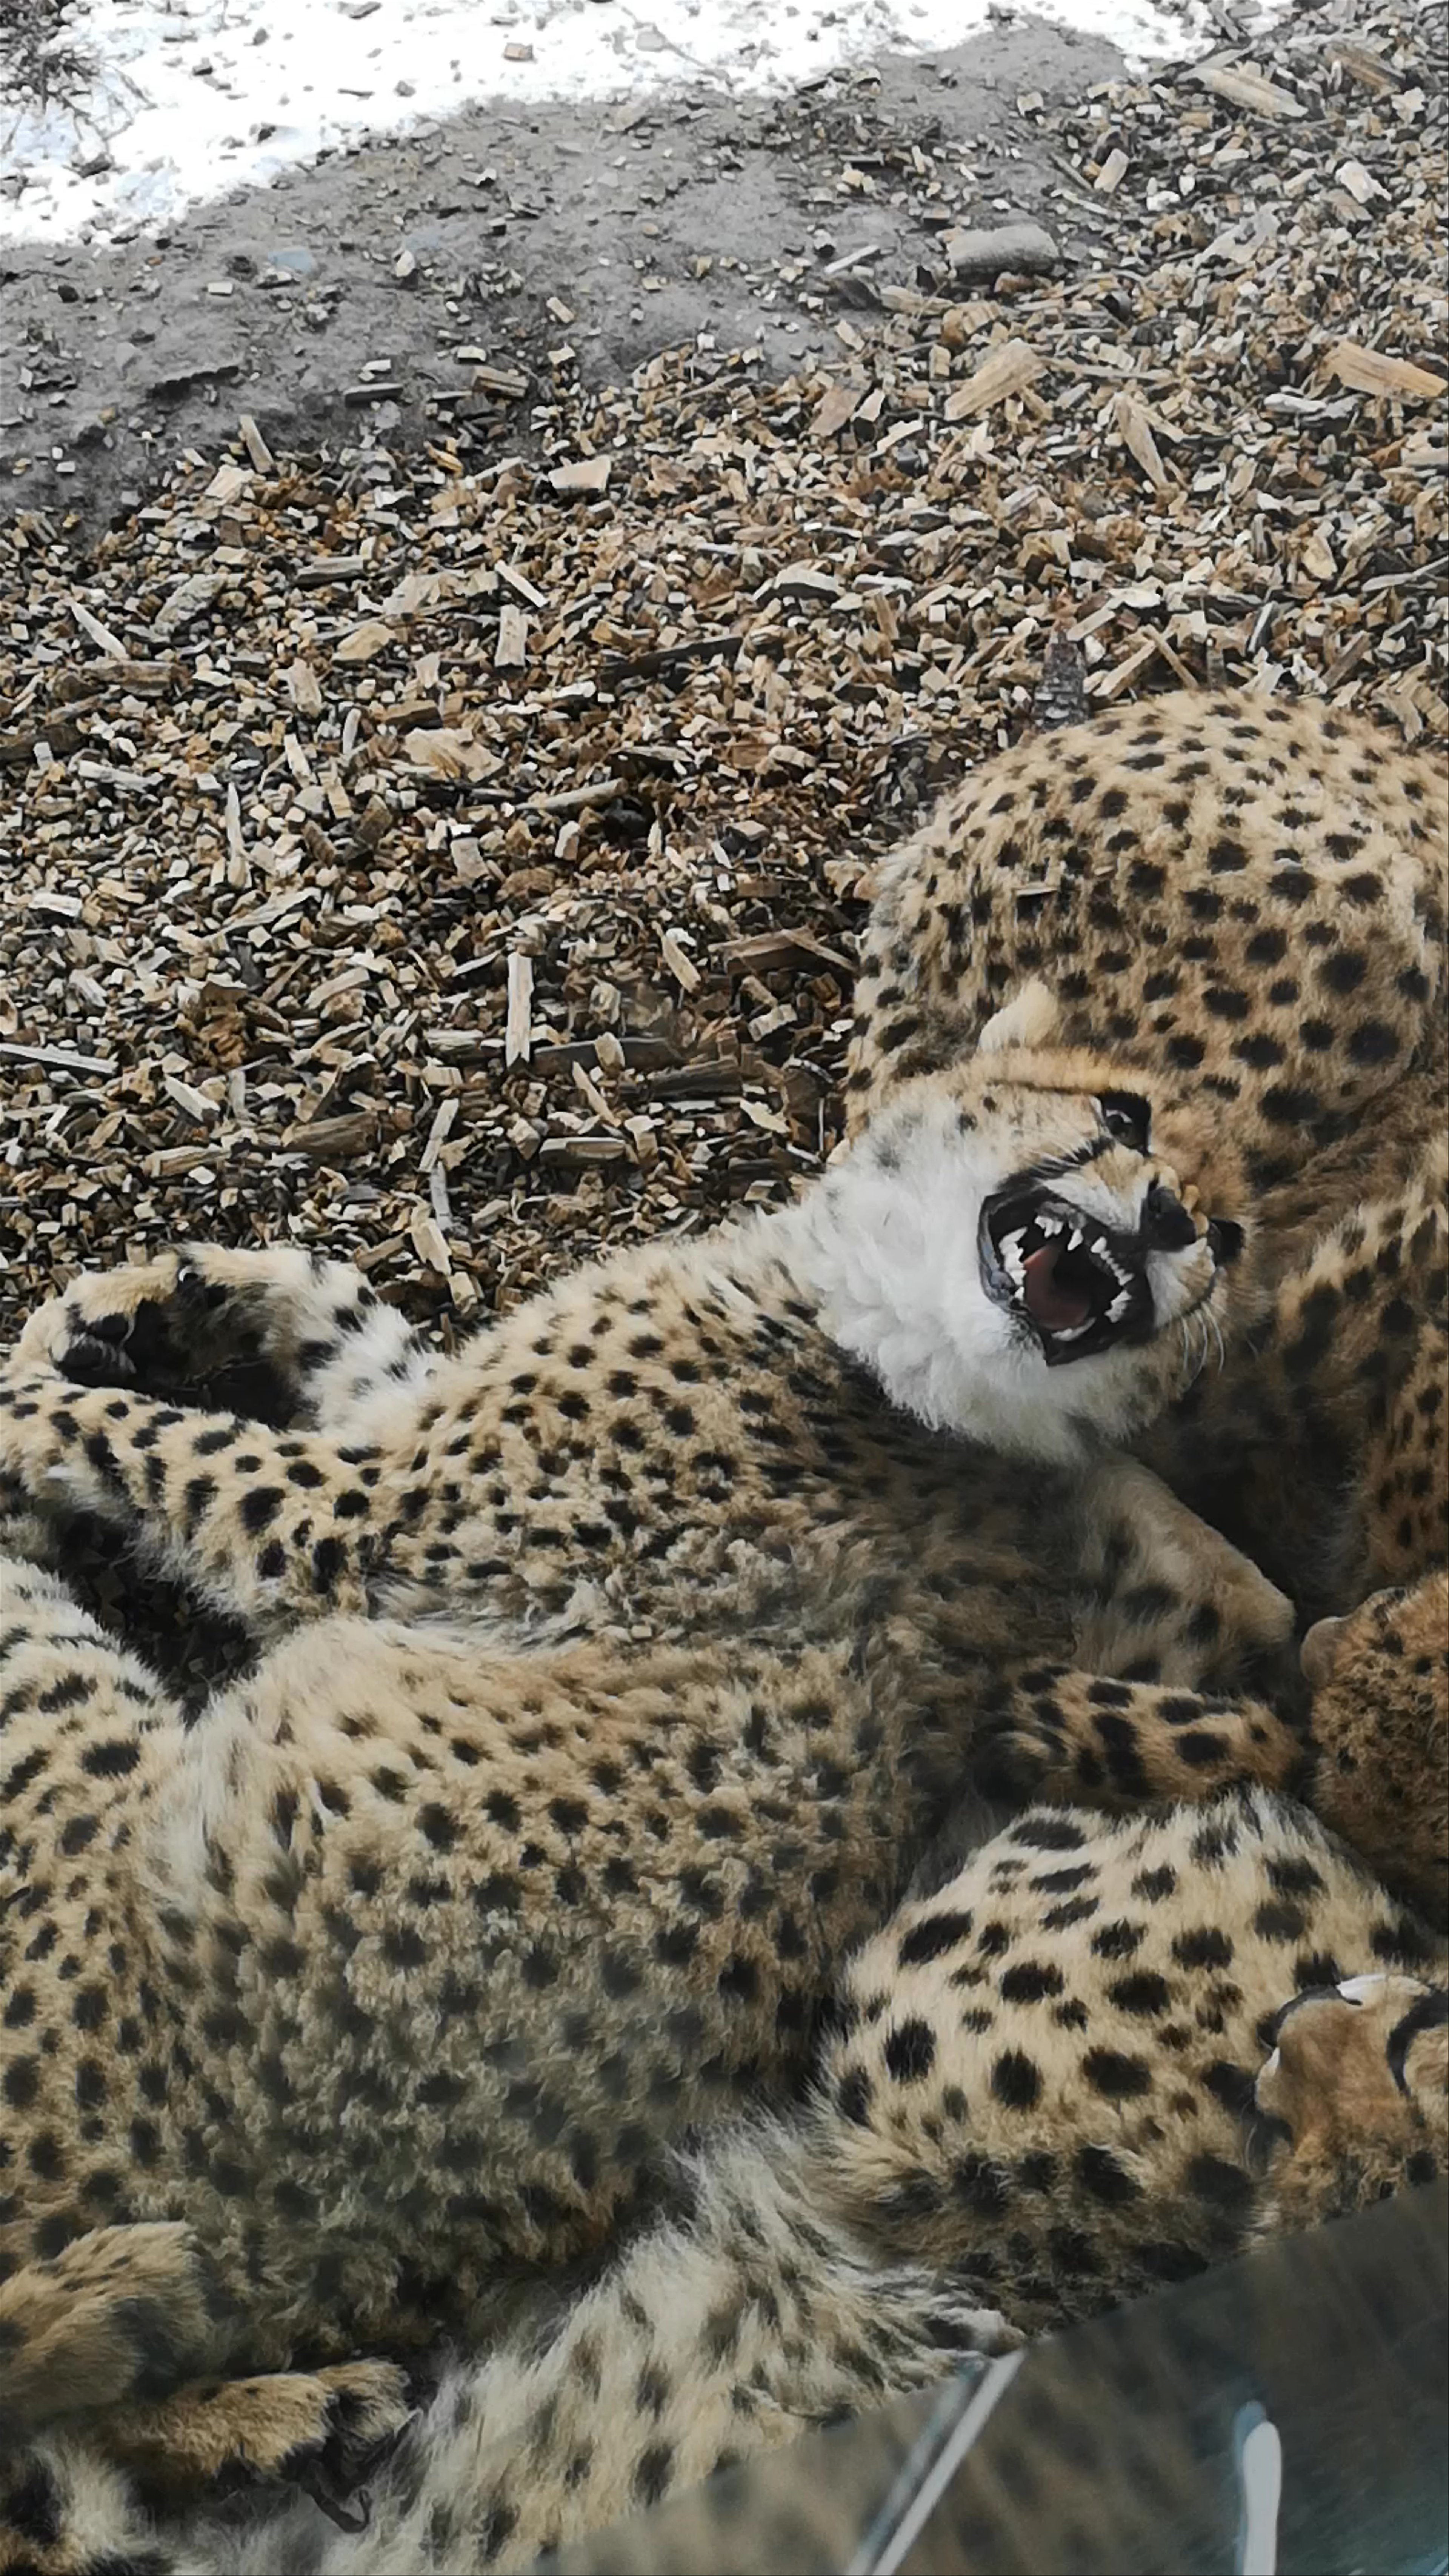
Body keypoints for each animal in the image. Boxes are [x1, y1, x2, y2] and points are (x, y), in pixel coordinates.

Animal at [0, 1005, 1309, 2473]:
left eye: (1227, 1240)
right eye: (1126, 1117)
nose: (1172, 1219)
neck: (899, 1371)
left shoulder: (348, 1520)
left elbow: (153, 1442)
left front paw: (46, 1380)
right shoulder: (406, 1438)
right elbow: (355, 1313)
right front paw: (181, 1291)